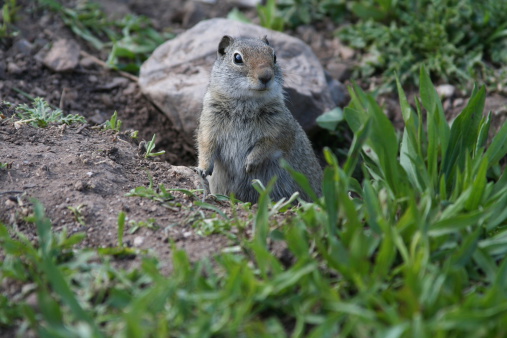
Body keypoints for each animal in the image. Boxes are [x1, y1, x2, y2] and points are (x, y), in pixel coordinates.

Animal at [196, 35, 324, 202]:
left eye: (274, 56)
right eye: (237, 58)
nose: (266, 76)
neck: (245, 104)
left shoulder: (279, 130)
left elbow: (269, 145)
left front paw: (250, 164)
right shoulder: (208, 124)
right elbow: (206, 146)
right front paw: (203, 170)